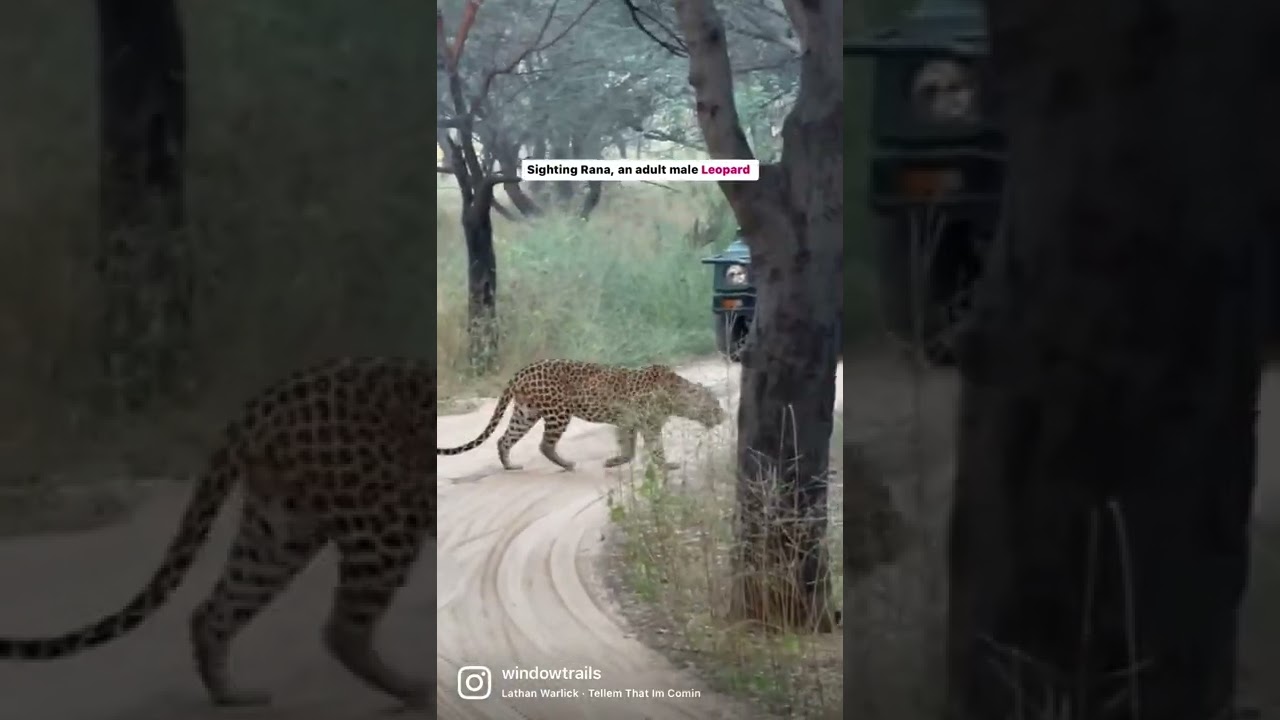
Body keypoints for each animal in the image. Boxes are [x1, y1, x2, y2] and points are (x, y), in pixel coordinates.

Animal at [0, 357, 436, 711]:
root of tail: (270, 397)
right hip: (386, 523)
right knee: (343, 630)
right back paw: (417, 692)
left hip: (281, 531)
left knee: (213, 613)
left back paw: (232, 696)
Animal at [437, 359, 724, 472]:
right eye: (714, 405)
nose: (723, 416)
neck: (675, 396)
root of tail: (523, 370)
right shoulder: (634, 422)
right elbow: (639, 448)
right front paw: (616, 462)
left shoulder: (639, 424)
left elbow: (646, 448)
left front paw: (662, 466)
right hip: (558, 413)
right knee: (544, 445)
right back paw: (567, 464)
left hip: (525, 413)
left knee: (504, 439)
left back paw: (510, 466)